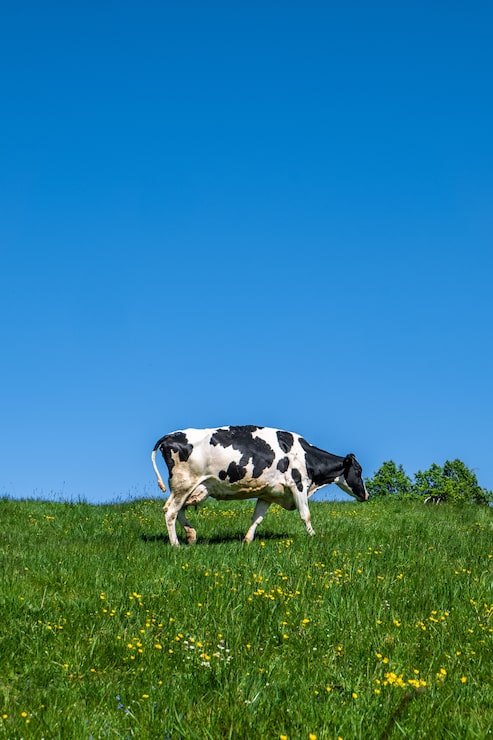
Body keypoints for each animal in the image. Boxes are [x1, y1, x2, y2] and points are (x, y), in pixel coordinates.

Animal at [151, 425, 368, 546]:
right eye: (358, 470)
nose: (366, 495)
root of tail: (170, 436)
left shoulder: (267, 494)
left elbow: (257, 518)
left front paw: (247, 540)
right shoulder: (298, 484)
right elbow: (305, 515)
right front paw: (314, 536)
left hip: (190, 488)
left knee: (178, 510)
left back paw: (191, 535)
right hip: (184, 483)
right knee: (170, 510)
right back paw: (175, 544)